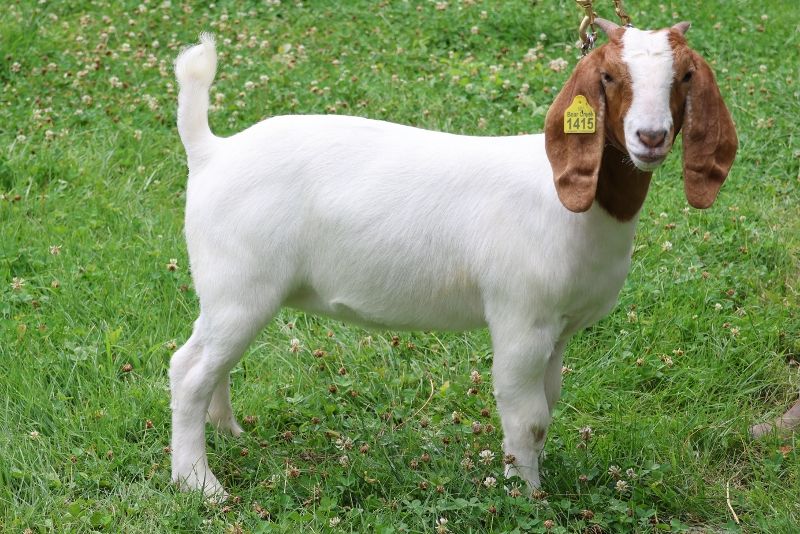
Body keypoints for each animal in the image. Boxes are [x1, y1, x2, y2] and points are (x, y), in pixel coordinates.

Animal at [170, 19, 737, 499]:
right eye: (610, 75)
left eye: (685, 75)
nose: (650, 137)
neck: (568, 198)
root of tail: (213, 151)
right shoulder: (521, 318)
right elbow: (527, 415)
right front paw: (526, 497)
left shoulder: (560, 328)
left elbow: (549, 404)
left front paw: (533, 479)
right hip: (240, 286)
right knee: (189, 371)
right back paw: (200, 485)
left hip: (228, 294)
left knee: (205, 360)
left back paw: (228, 431)